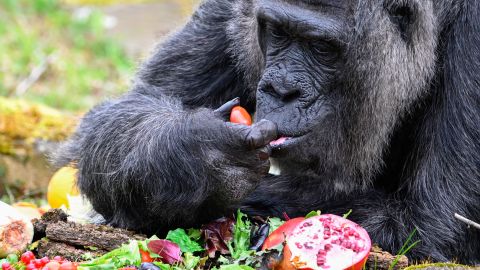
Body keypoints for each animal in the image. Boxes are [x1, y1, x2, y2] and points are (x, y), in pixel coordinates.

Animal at [56, 0, 480, 264]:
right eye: (277, 31)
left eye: (321, 47)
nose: (281, 89)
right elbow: (129, 110)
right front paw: (193, 156)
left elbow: (426, 223)